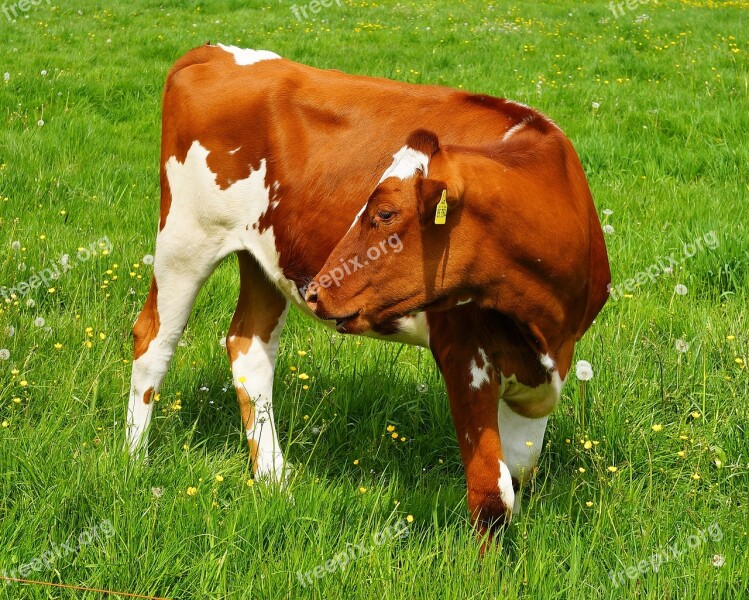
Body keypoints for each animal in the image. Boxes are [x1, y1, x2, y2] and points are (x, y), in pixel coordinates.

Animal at [129, 42, 608, 540]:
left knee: (249, 348)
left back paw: (275, 481)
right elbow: (492, 497)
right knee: (153, 341)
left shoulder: (545, 370)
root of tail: (213, 52)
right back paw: (135, 462)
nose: (318, 290)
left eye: (384, 214)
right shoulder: (463, 350)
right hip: (185, 238)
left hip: (262, 256)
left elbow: (518, 472)